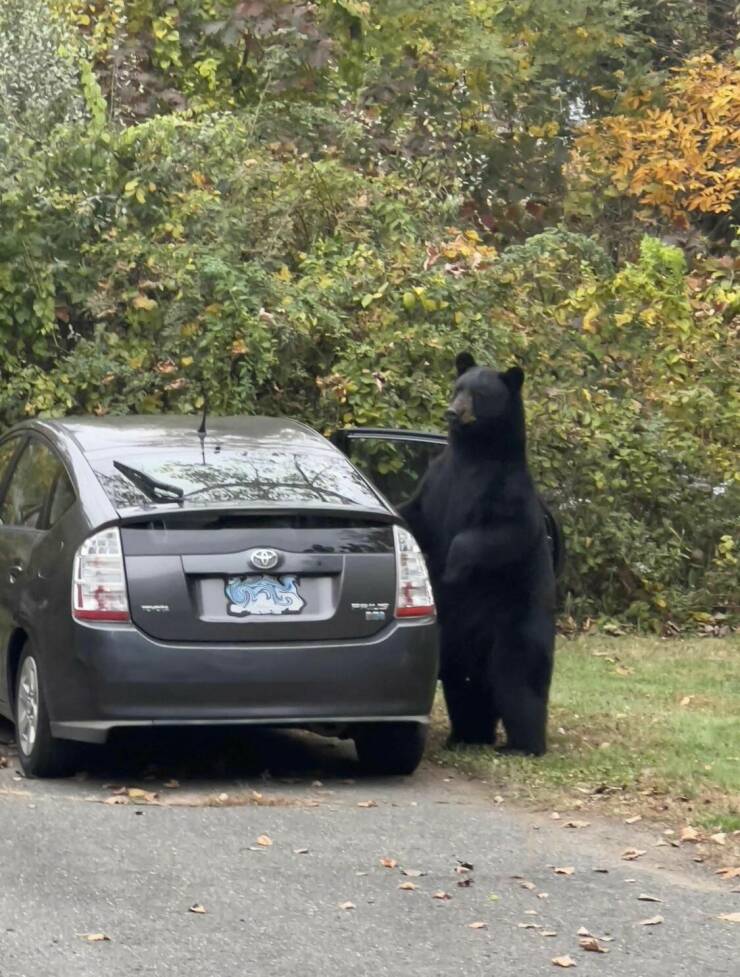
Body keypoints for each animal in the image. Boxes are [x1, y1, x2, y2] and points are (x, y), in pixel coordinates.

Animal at [398, 350, 556, 756]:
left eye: (479, 395)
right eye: (458, 387)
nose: (453, 412)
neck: (474, 454)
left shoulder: (507, 491)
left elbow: (502, 534)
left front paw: (452, 567)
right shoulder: (438, 482)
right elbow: (414, 513)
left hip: (516, 622)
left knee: (518, 679)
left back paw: (523, 744)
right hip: (454, 638)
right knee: (465, 686)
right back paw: (467, 735)